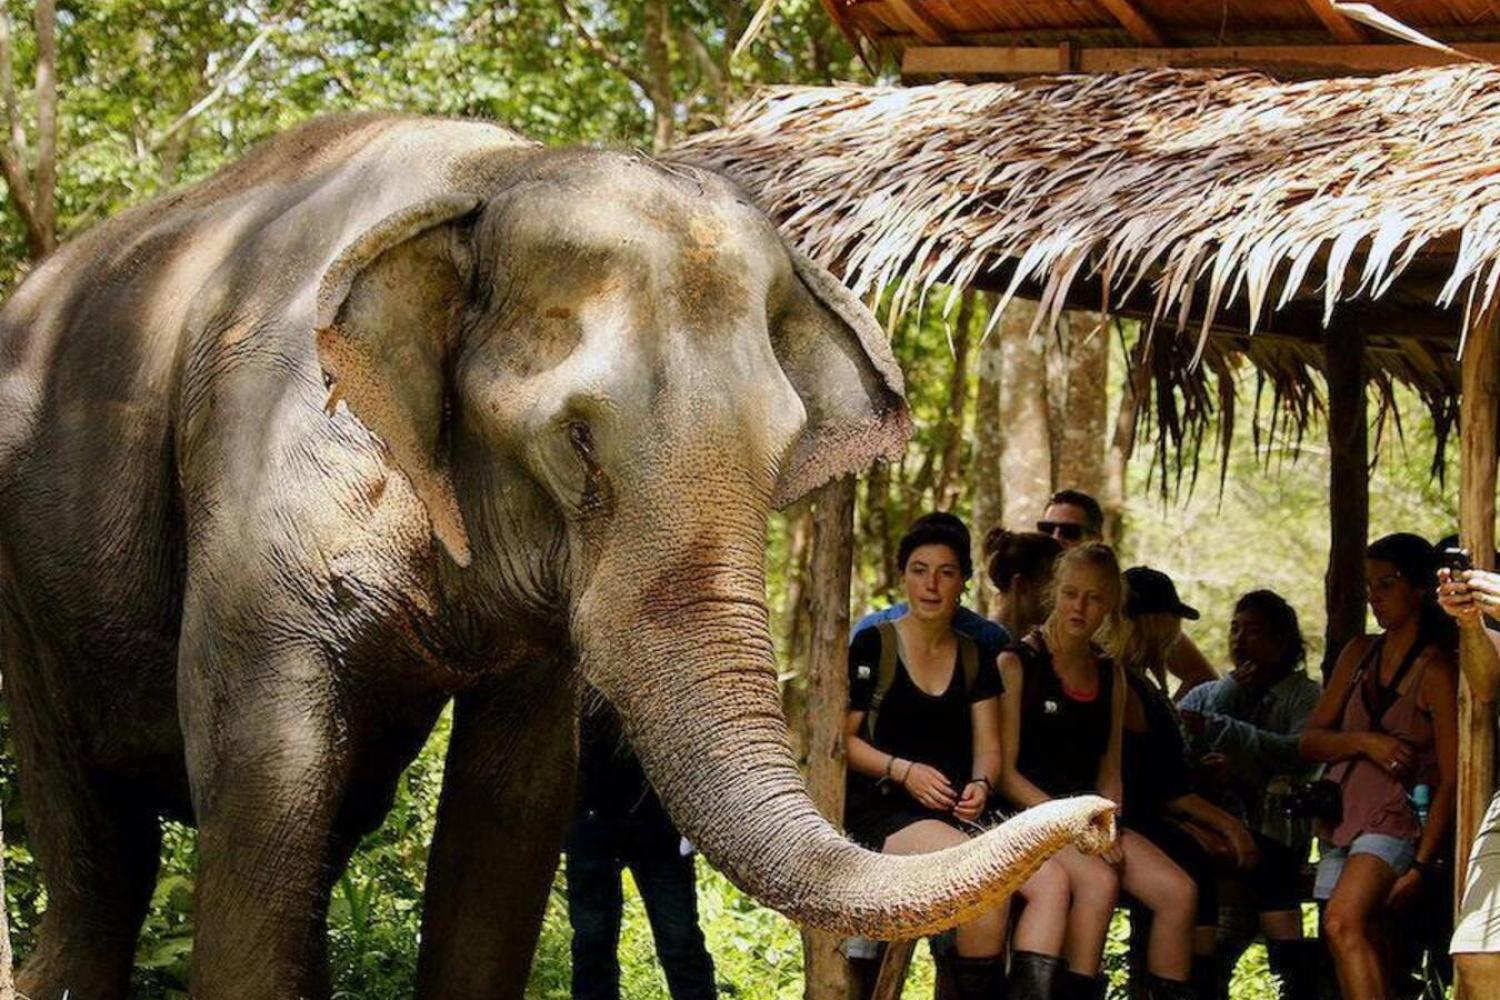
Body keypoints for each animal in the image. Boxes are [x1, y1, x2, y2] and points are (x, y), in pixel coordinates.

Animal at [0, 112, 1115, 1000]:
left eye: (781, 453)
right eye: (577, 440)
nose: (1104, 817)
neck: (495, 175)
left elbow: (514, 807)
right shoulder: (258, 492)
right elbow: (267, 776)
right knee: (106, 858)